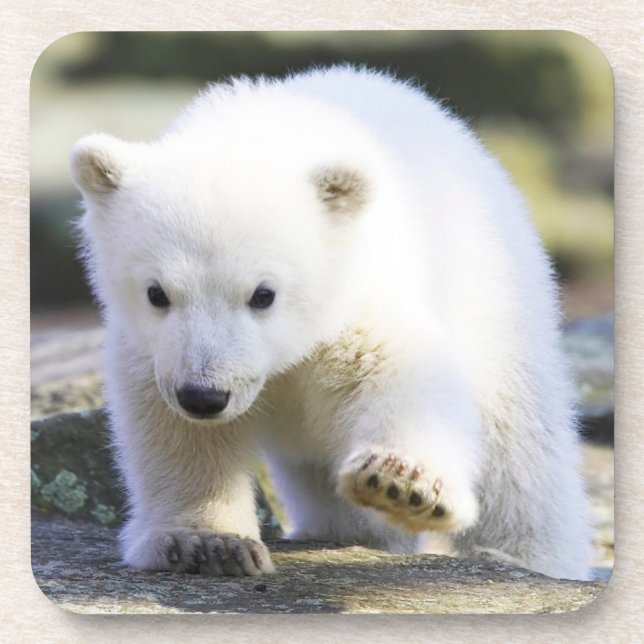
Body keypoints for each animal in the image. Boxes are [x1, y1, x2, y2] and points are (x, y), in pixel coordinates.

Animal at [70, 65, 592, 580]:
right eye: (157, 293)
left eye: (263, 294)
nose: (204, 396)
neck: (257, 133)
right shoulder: (153, 351)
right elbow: (175, 431)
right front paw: (208, 543)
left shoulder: (354, 294)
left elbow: (400, 369)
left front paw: (401, 483)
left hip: (494, 292)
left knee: (519, 450)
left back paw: (524, 556)